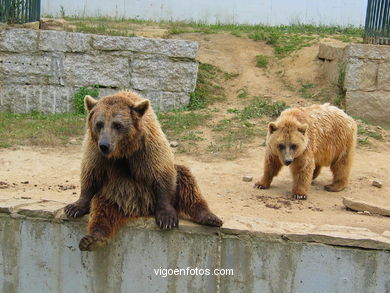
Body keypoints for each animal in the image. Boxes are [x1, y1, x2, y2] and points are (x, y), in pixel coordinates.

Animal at [64, 90, 222, 249]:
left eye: (117, 125)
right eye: (99, 124)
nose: (104, 145)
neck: (124, 150)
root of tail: (139, 209)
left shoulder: (147, 146)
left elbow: (161, 172)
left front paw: (167, 218)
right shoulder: (95, 150)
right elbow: (91, 173)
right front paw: (74, 207)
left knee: (186, 181)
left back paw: (210, 217)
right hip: (112, 195)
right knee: (101, 211)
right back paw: (92, 239)